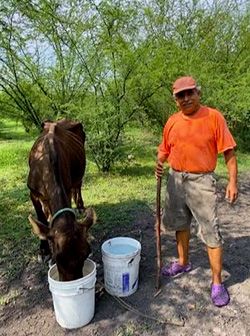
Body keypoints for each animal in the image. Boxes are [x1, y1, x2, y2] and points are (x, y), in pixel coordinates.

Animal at [27, 119, 95, 280]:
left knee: (78, 184)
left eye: (86, 253)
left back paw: (80, 206)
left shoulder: (67, 187)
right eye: (57, 258)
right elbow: (41, 218)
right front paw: (44, 251)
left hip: (78, 174)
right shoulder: (33, 192)